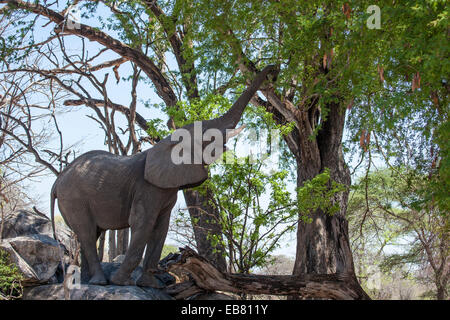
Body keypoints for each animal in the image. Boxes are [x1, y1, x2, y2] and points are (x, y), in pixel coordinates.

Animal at [49, 63, 274, 286]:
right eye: (207, 136)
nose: (273, 68)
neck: (166, 142)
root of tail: (57, 181)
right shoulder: (147, 187)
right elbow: (143, 224)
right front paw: (121, 282)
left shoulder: (166, 190)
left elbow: (161, 229)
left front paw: (149, 285)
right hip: (74, 199)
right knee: (87, 234)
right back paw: (101, 282)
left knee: (91, 234)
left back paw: (87, 281)